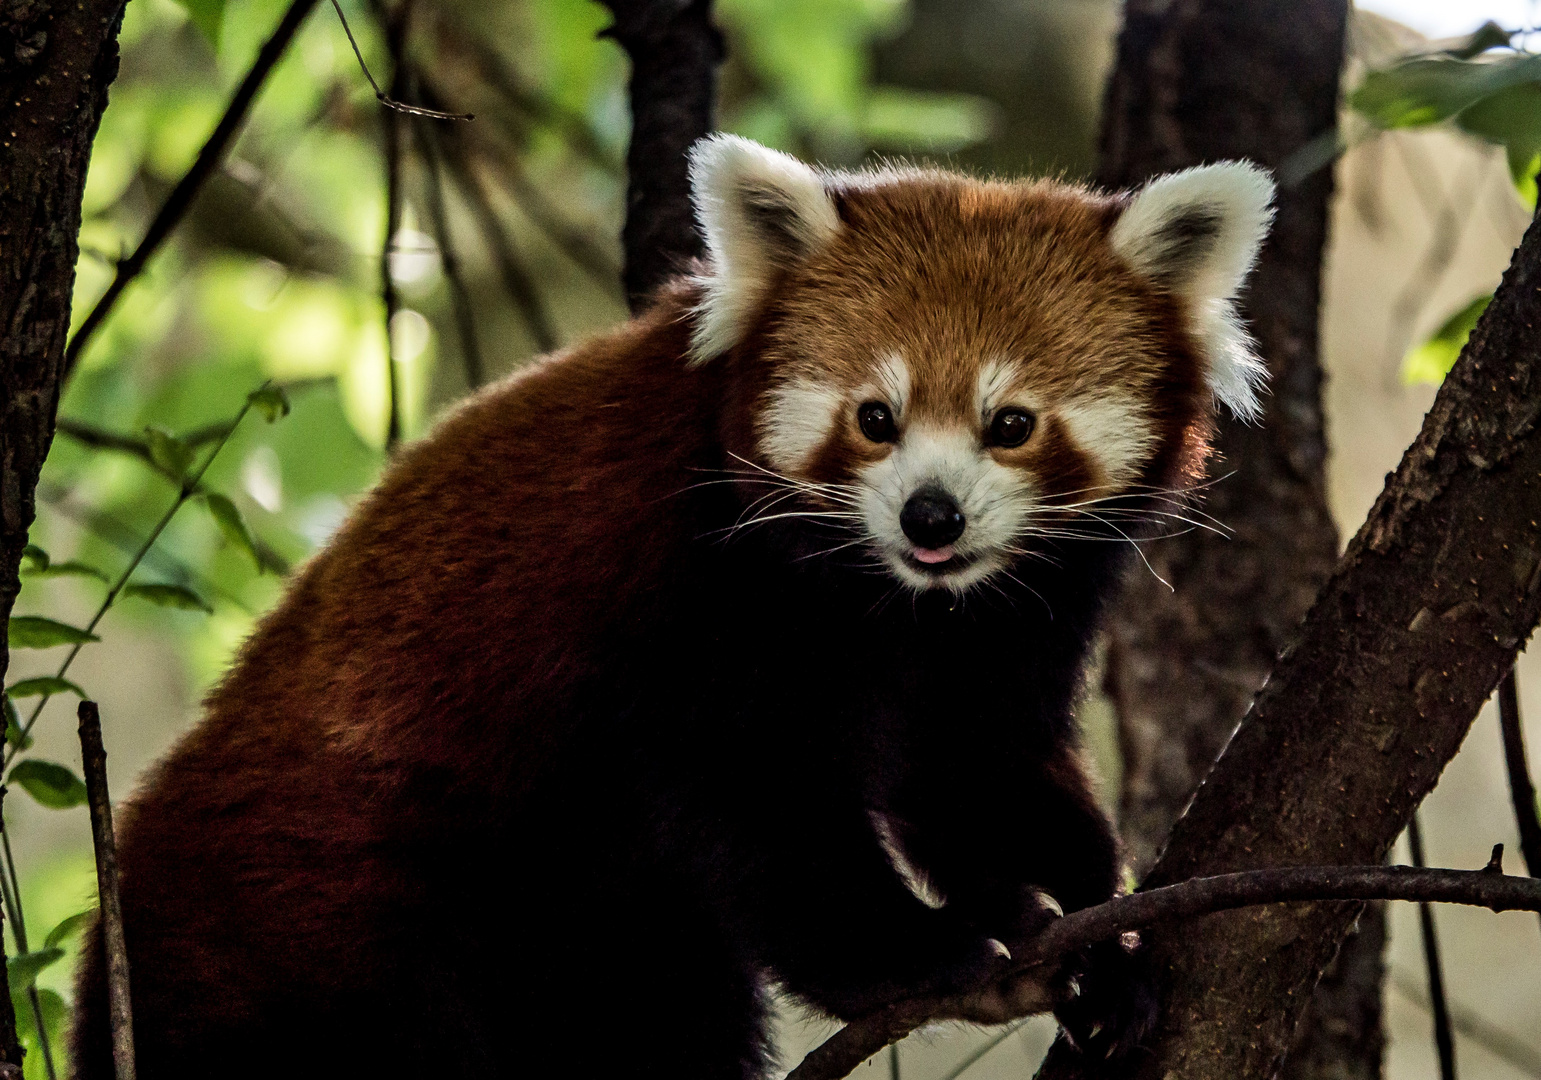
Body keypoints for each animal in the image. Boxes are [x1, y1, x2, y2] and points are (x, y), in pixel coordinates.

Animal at [72, 137, 1269, 1078]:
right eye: (875, 418)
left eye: (1009, 423)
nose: (929, 517)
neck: (894, 600)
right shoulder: (687, 597)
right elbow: (756, 802)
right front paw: (931, 953)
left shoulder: (1006, 623)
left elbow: (980, 769)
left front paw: (1097, 947)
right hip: (337, 924)